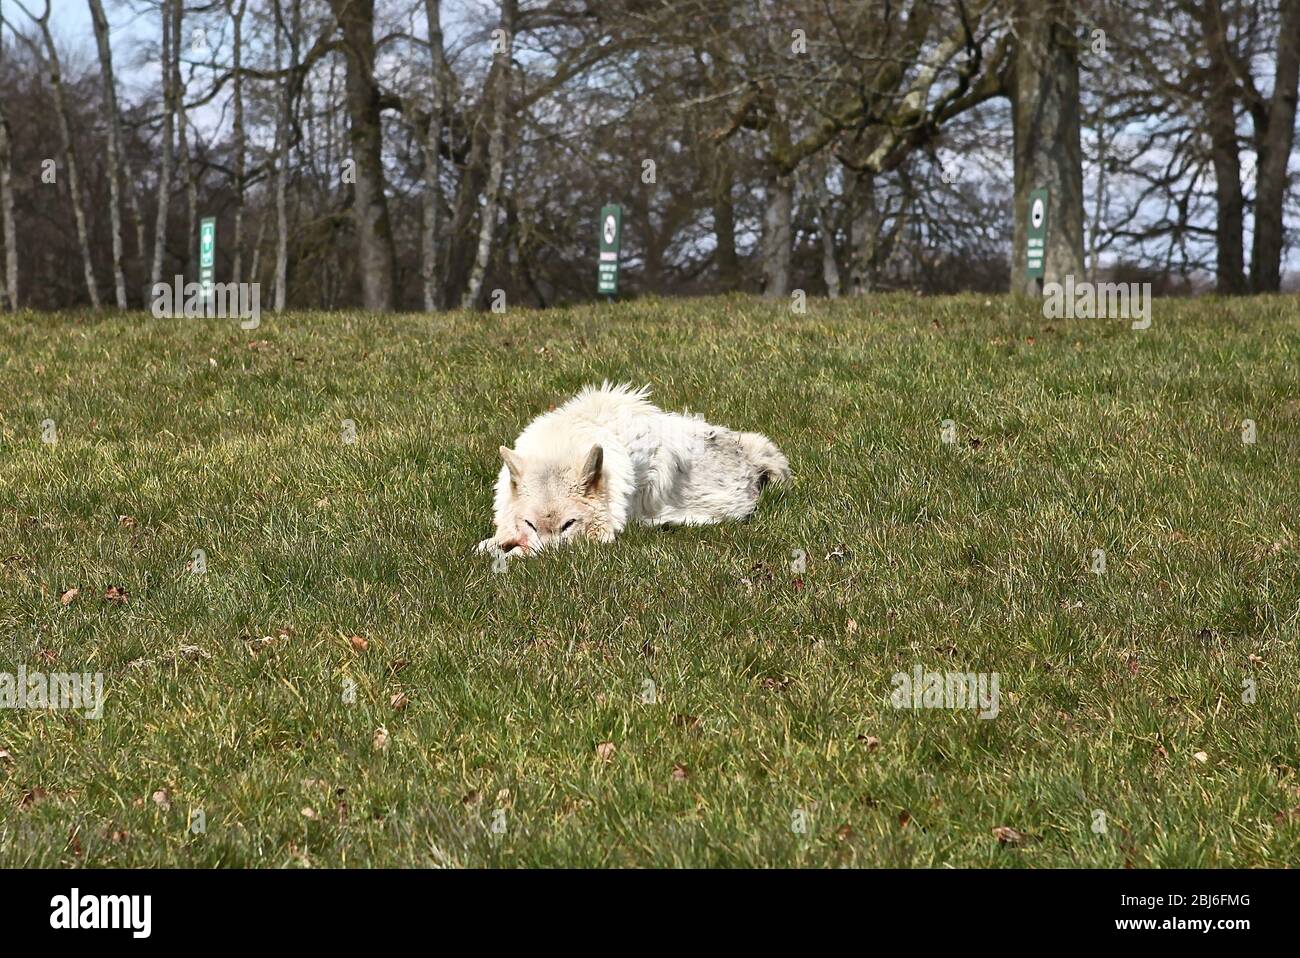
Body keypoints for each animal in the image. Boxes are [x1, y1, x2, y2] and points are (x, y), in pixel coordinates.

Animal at [475, 384, 785, 556]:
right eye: (530, 524)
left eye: (569, 524)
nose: (548, 560)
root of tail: (748, 453)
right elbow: (485, 545)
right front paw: (493, 546)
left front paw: (513, 555)